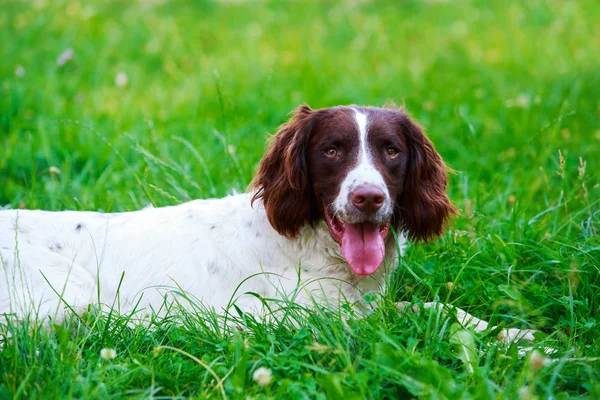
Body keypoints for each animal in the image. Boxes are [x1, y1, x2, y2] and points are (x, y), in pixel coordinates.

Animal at [0, 104, 536, 342]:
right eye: (332, 150)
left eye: (391, 151)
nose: (367, 198)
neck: (309, 246)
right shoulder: (282, 315)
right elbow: (416, 312)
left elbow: (437, 308)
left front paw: (513, 334)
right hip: (70, 299)